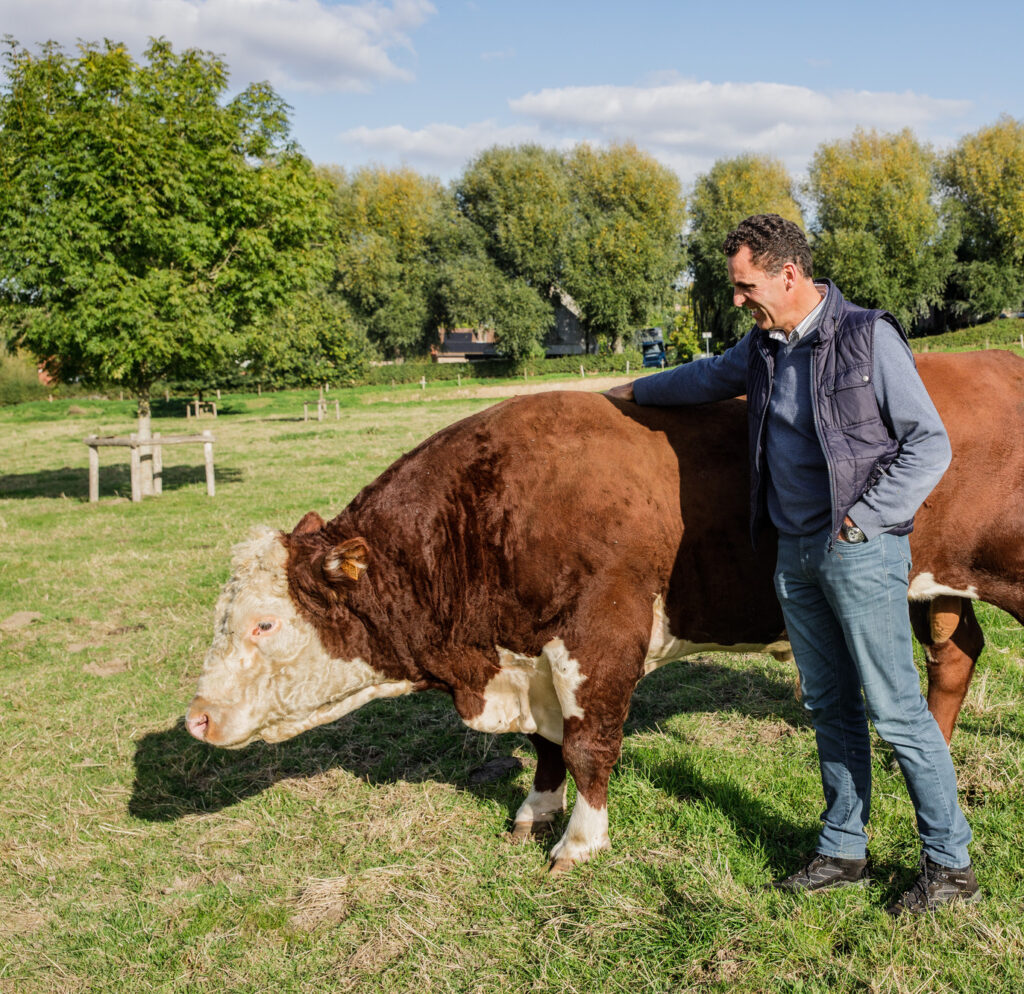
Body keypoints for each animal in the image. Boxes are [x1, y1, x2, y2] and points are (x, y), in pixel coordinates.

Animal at [186, 348, 1024, 872]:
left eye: (265, 622)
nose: (194, 718)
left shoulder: (600, 635)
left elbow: (590, 742)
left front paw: (581, 841)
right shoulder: (531, 654)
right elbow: (547, 744)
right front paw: (536, 809)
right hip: (935, 584)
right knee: (953, 655)